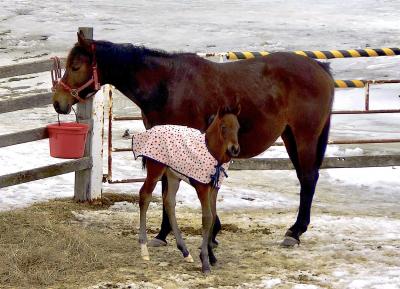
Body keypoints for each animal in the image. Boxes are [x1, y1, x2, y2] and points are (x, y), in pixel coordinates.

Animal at [53, 32, 334, 246]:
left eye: (76, 66)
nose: (58, 102)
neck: (166, 86)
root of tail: (320, 69)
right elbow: (166, 186)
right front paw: (164, 234)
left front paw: (209, 231)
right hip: (290, 136)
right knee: (305, 177)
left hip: (305, 136)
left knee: (308, 177)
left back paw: (295, 232)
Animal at [134, 106, 241, 272]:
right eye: (223, 127)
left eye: (238, 128)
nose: (235, 149)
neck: (212, 152)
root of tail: (150, 131)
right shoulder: (202, 188)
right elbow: (207, 217)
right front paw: (205, 262)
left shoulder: (214, 188)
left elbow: (213, 215)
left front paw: (211, 257)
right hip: (155, 170)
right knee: (145, 195)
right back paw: (144, 249)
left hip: (172, 176)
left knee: (169, 202)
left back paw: (185, 251)